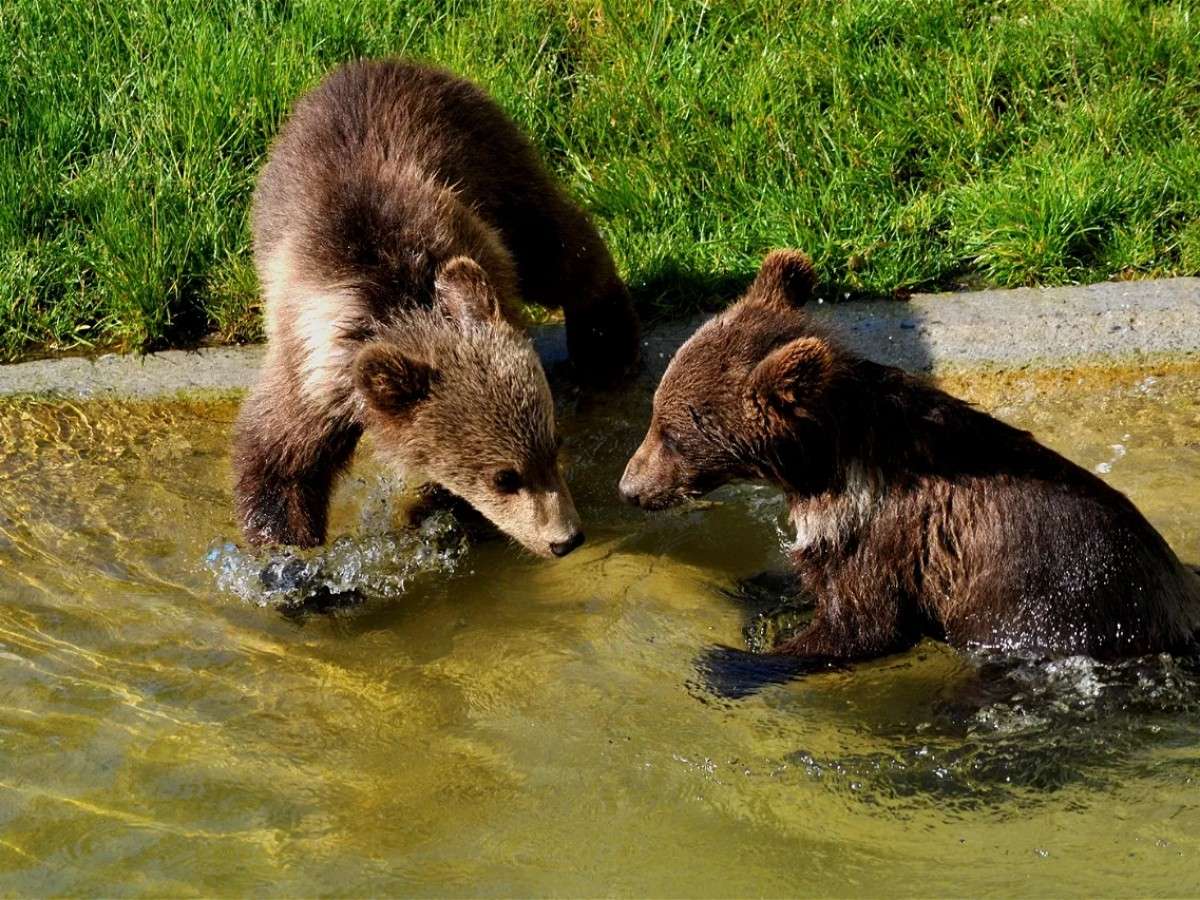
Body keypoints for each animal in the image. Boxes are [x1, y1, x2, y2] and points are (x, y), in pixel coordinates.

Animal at [232, 59, 639, 556]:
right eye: (505, 477)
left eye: (553, 444)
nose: (565, 539)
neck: (396, 305)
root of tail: (377, 62)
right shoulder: (315, 372)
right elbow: (279, 457)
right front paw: (290, 556)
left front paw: (433, 511)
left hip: (494, 165)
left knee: (556, 247)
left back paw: (605, 343)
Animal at [620, 249, 1200, 674]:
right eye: (655, 417)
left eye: (671, 434)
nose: (628, 487)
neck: (824, 469)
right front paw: (759, 582)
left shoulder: (886, 535)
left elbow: (859, 626)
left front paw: (733, 661)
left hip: (1058, 607)